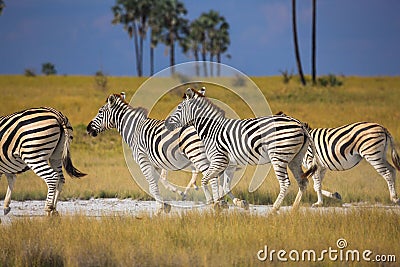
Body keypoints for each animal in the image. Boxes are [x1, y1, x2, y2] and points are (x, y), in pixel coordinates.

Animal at [87, 92, 248, 214]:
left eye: (100, 111)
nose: (88, 129)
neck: (134, 130)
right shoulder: (155, 163)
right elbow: (154, 185)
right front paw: (164, 204)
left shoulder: (143, 160)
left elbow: (152, 185)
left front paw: (161, 207)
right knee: (220, 177)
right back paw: (229, 202)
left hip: (198, 155)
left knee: (213, 177)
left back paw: (216, 203)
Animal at [164, 88, 318, 211]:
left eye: (179, 107)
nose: (166, 123)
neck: (211, 129)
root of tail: (299, 124)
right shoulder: (229, 164)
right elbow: (224, 185)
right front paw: (232, 203)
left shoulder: (218, 160)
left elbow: (206, 180)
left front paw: (213, 203)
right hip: (295, 159)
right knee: (303, 182)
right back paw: (294, 209)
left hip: (279, 156)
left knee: (285, 183)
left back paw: (274, 209)